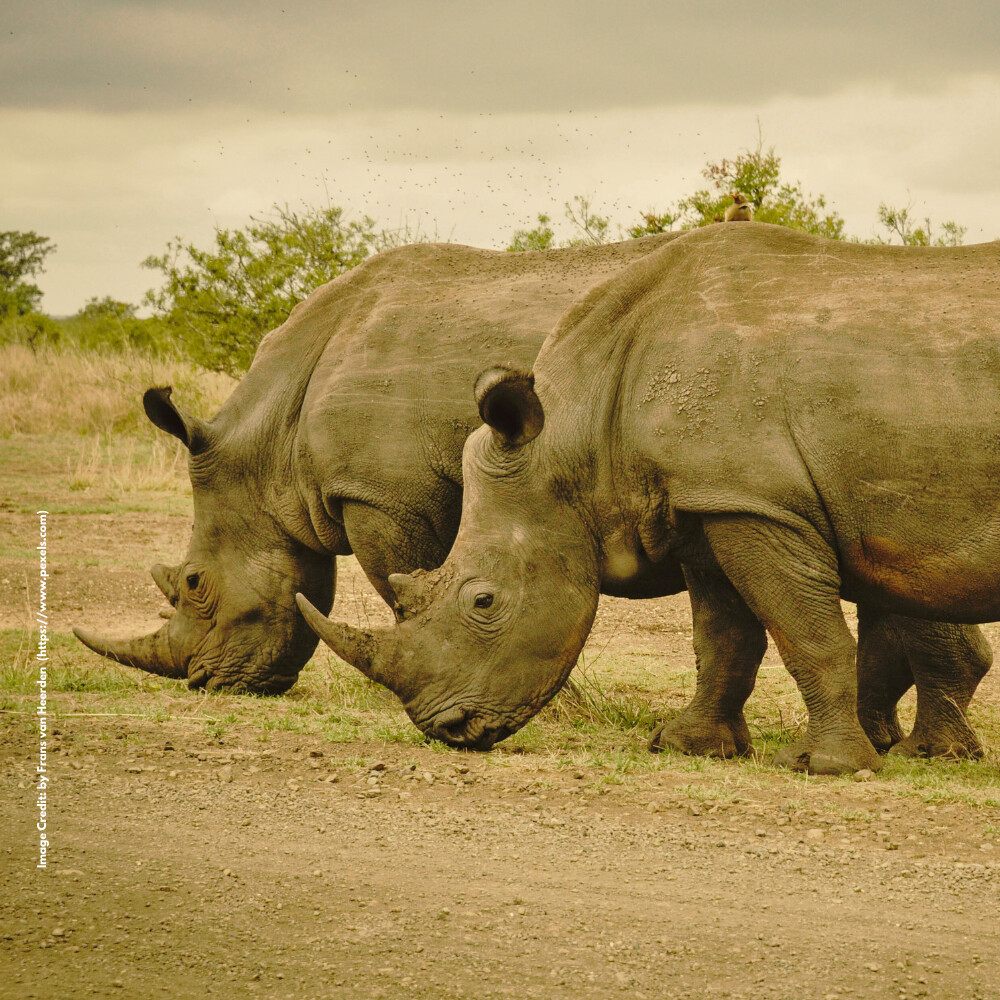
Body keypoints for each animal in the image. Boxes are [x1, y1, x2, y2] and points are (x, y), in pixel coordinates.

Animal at [299, 223, 1000, 772]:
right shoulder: (710, 501)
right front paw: (690, 746)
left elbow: (804, 631)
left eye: (484, 601)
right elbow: (723, 635)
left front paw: (825, 766)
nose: (448, 730)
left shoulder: (755, 501)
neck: (576, 431)